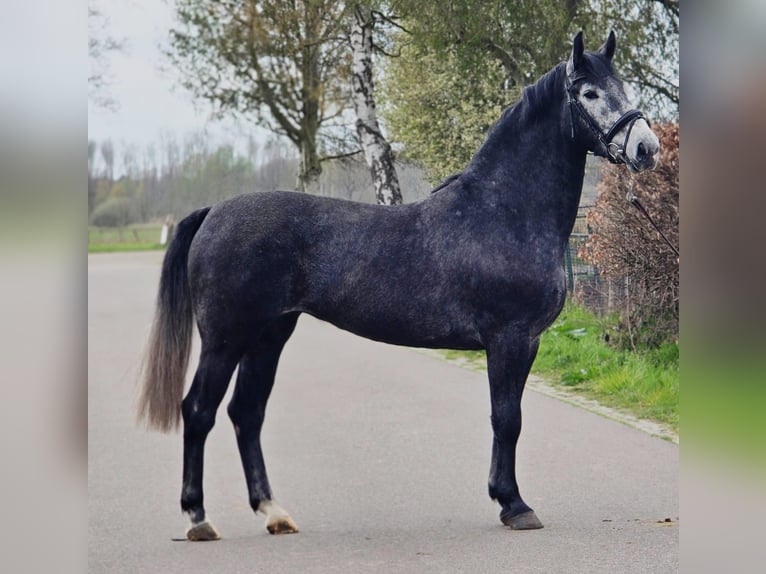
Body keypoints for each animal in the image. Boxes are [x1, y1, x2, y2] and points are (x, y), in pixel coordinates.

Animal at [138, 31, 660, 540]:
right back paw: (198, 517)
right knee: (199, 410)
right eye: (589, 93)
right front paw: (514, 505)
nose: (647, 148)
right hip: (225, 339)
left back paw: (273, 512)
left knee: (246, 414)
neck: (503, 213)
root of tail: (214, 212)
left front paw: (505, 499)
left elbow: (507, 418)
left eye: (623, 86)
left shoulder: (526, 342)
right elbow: (506, 418)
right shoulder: (509, 338)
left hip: (269, 336)